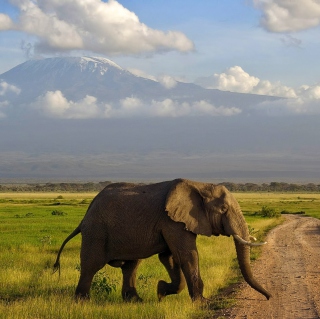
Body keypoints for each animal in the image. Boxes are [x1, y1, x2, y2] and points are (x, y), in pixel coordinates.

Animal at [53, 180, 272, 302]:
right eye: (223, 209)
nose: (269, 297)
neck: (200, 186)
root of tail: (85, 215)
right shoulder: (172, 221)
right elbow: (187, 256)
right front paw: (203, 302)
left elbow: (169, 258)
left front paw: (160, 292)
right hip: (96, 232)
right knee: (91, 265)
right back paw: (82, 302)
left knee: (131, 266)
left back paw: (135, 301)